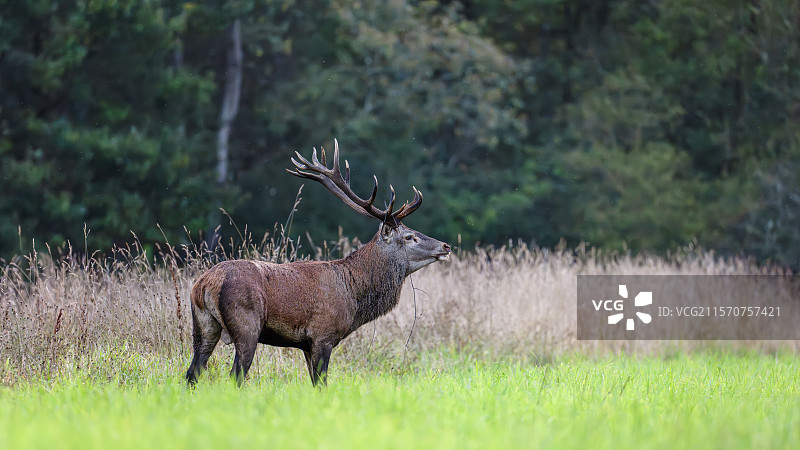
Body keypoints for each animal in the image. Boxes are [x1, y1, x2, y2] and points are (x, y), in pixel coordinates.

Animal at [185, 140, 451, 386]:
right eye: (409, 236)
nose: (446, 246)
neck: (353, 293)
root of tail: (204, 285)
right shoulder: (323, 335)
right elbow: (322, 382)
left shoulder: (305, 344)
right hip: (246, 324)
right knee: (236, 376)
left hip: (203, 325)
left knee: (192, 373)